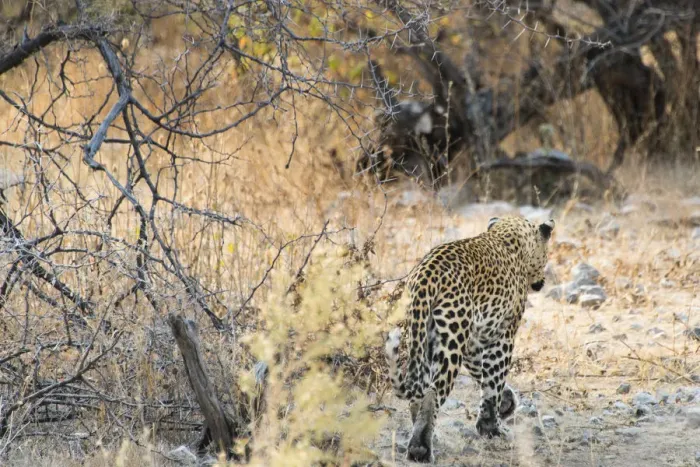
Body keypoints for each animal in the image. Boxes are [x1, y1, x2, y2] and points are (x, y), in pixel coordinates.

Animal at [385, 215, 555, 463]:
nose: (541, 281)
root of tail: (425, 275)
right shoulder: (503, 333)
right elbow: (494, 378)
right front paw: (491, 427)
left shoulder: (474, 340)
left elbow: (483, 374)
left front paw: (506, 403)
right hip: (451, 340)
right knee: (432, 393)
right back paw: (420, 449)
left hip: (424, 335)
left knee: (419, 390)